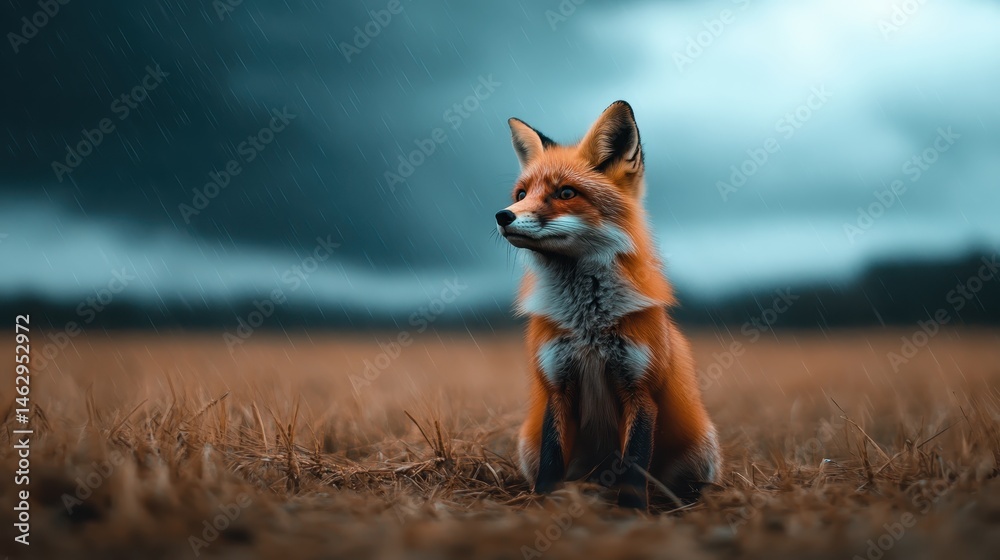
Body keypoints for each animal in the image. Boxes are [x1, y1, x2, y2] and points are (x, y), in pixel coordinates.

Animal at [495, 101, 721, 509]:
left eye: (566, 192)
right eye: (521, 194)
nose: (503, 216)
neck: (589, 324)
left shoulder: (640, 389)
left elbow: (633, 464)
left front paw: (630, 512)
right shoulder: (557, 385)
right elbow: (552, 460)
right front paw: (544, 504)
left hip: (700, 447)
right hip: (527, 444)